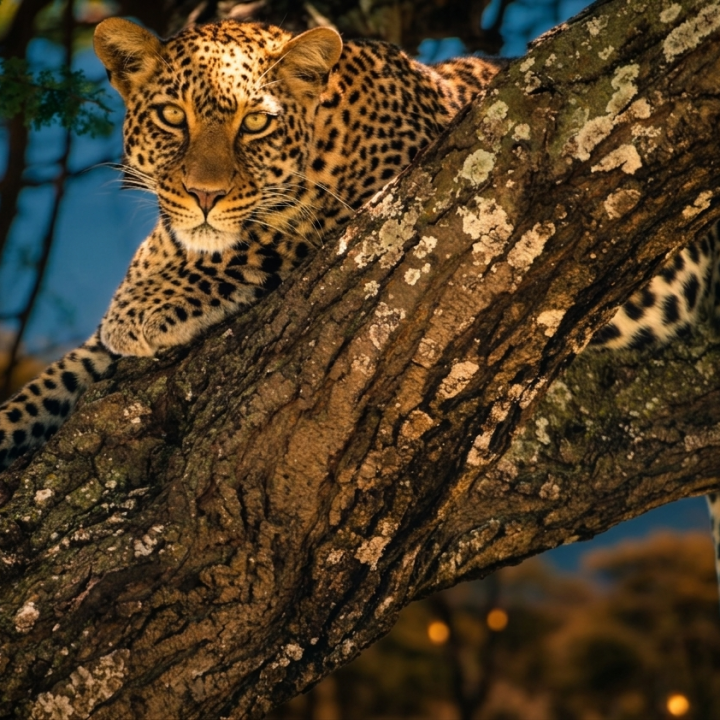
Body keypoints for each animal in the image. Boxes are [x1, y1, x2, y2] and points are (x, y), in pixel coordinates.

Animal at [0, 17, 718, 581]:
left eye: (255, 124)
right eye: (173, 117)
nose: (204, 194)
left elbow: (276, 233)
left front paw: (149, 295)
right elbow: (63, 374)